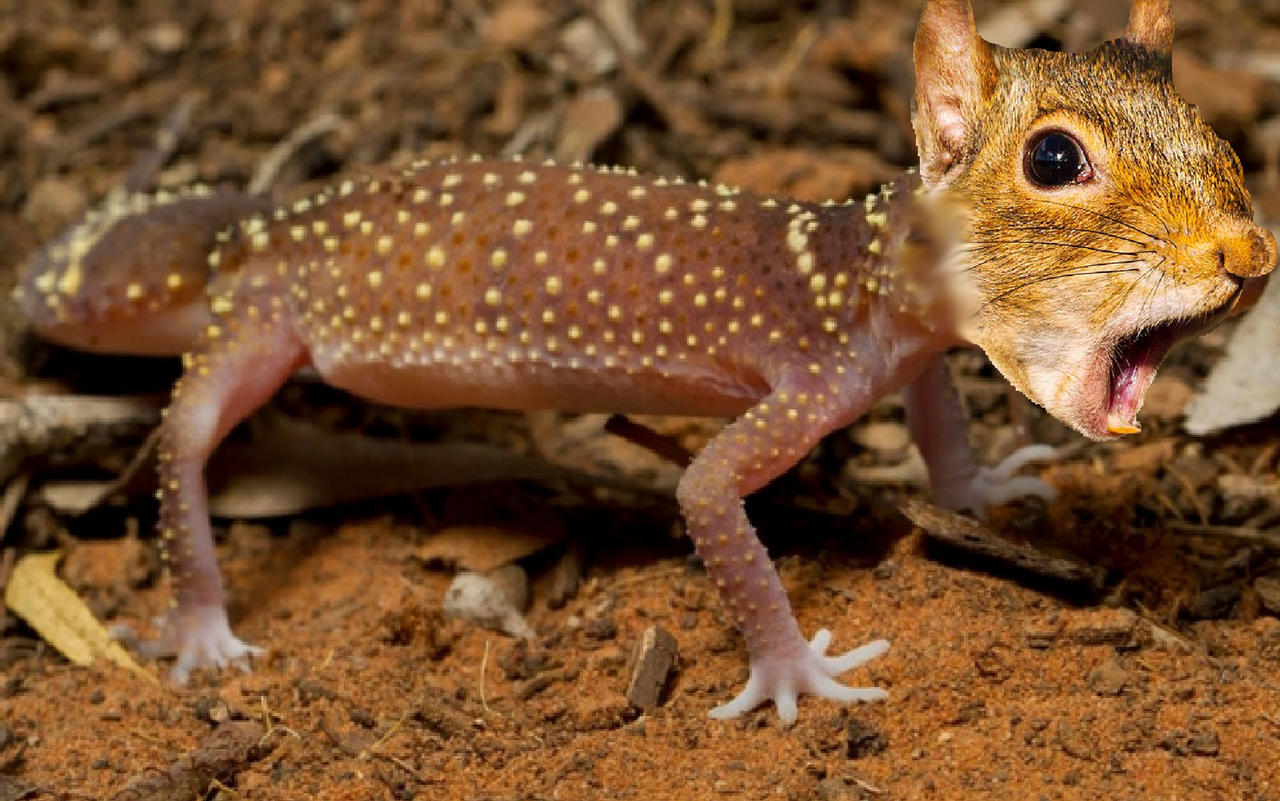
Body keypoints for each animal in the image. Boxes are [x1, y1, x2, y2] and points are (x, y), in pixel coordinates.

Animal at [13, 0, 1276, 723]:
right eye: (1055, 161)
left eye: (1218, 147)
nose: (1246, 253)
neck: (852, 272)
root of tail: (259, 220)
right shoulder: (799, 388)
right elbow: (709, 498)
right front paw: (790, 673)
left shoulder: (899, 360)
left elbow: (936, 420)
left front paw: (975, 490)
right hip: (261, 325)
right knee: (184, 446)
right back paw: (199, 622)